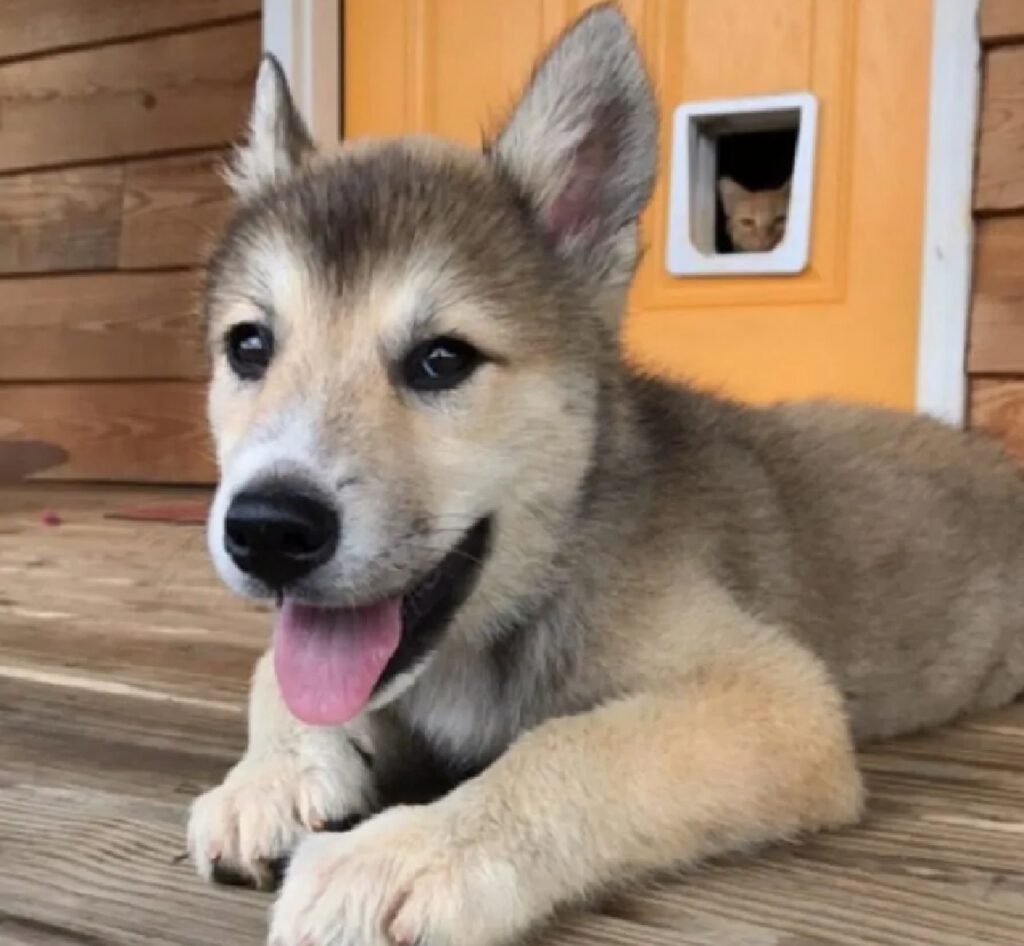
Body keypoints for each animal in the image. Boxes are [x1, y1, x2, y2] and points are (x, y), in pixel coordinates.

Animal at [188, 7, 1024, 946]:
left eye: (442, 360)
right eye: (249, 346)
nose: (266, 531)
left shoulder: (781, 700)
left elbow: (569, 746)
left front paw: (410, 854)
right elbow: (275, 670)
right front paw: (268, 777)